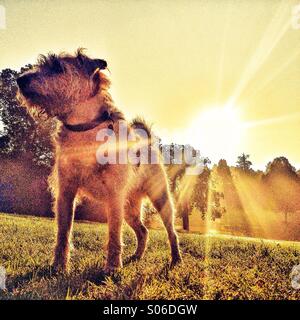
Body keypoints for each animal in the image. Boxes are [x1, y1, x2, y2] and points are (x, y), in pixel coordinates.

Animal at [17, 48, 180, 272]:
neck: (85, 130)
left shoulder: (114, 195)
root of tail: (148, 143)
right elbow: (63, 232)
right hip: (129, 208)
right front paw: (59, 266)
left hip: (160, 199)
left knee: (171, 231)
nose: (19, 79)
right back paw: (136, 257)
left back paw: (176, 259)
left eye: (57, 67)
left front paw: (112, 268)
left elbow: (114, 234)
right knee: (143, 231)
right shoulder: (66, 192)